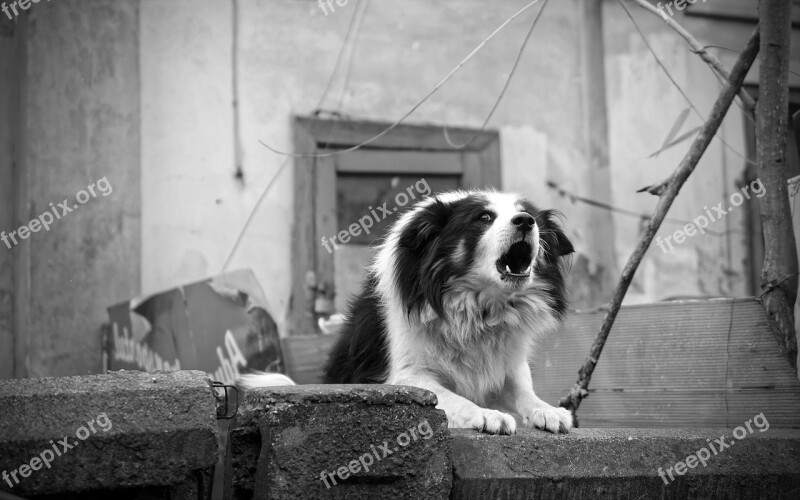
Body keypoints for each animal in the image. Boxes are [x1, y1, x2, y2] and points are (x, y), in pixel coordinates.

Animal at [239, 189, 576, 436]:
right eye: (484, 217)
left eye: (530, 216)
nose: (526, 221)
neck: (479, 307)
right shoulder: (404, 374)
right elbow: (454, 398)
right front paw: (487, 415)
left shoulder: (509, 358)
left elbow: (522, 389)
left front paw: (548, 411)